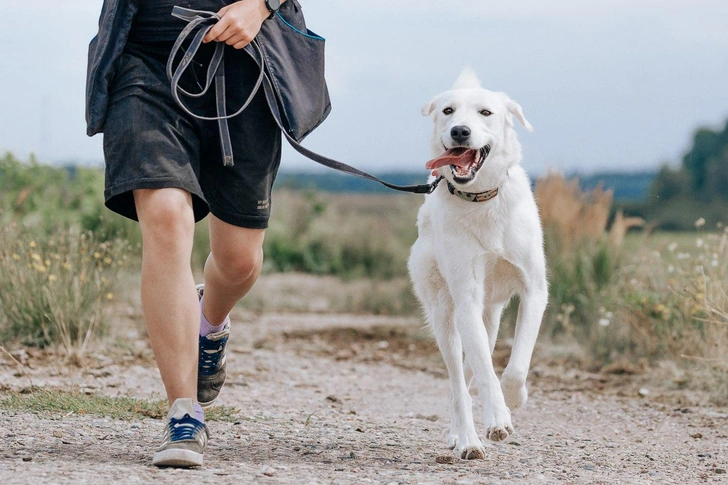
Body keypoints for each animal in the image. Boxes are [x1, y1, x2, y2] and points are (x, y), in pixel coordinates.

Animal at [406, 67, 548, 458]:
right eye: (448, 111)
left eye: (486, 113)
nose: (460, 131)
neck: (482, 198)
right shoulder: (466, 299)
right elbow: (486, 372)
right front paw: (498, 417)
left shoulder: (535, 291)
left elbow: (516, 366)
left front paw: (514, 399)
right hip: (445, 314)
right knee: (458, 382)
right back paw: (467, 439)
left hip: (491, 317)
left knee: (470, 372)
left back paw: (461, 433)